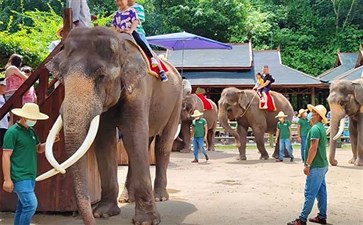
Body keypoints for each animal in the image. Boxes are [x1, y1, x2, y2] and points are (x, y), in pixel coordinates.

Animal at [41, 26, 183, 225]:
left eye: (101, 76)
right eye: (61, 76)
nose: (91, 220)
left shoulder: (139, 89)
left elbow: (133, 136)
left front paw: (147, 221)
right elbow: (105, 140)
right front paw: (104, 213)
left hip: (177, 101)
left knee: (162, 144)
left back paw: (160, 196)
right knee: (143, 145)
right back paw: (126, 198)